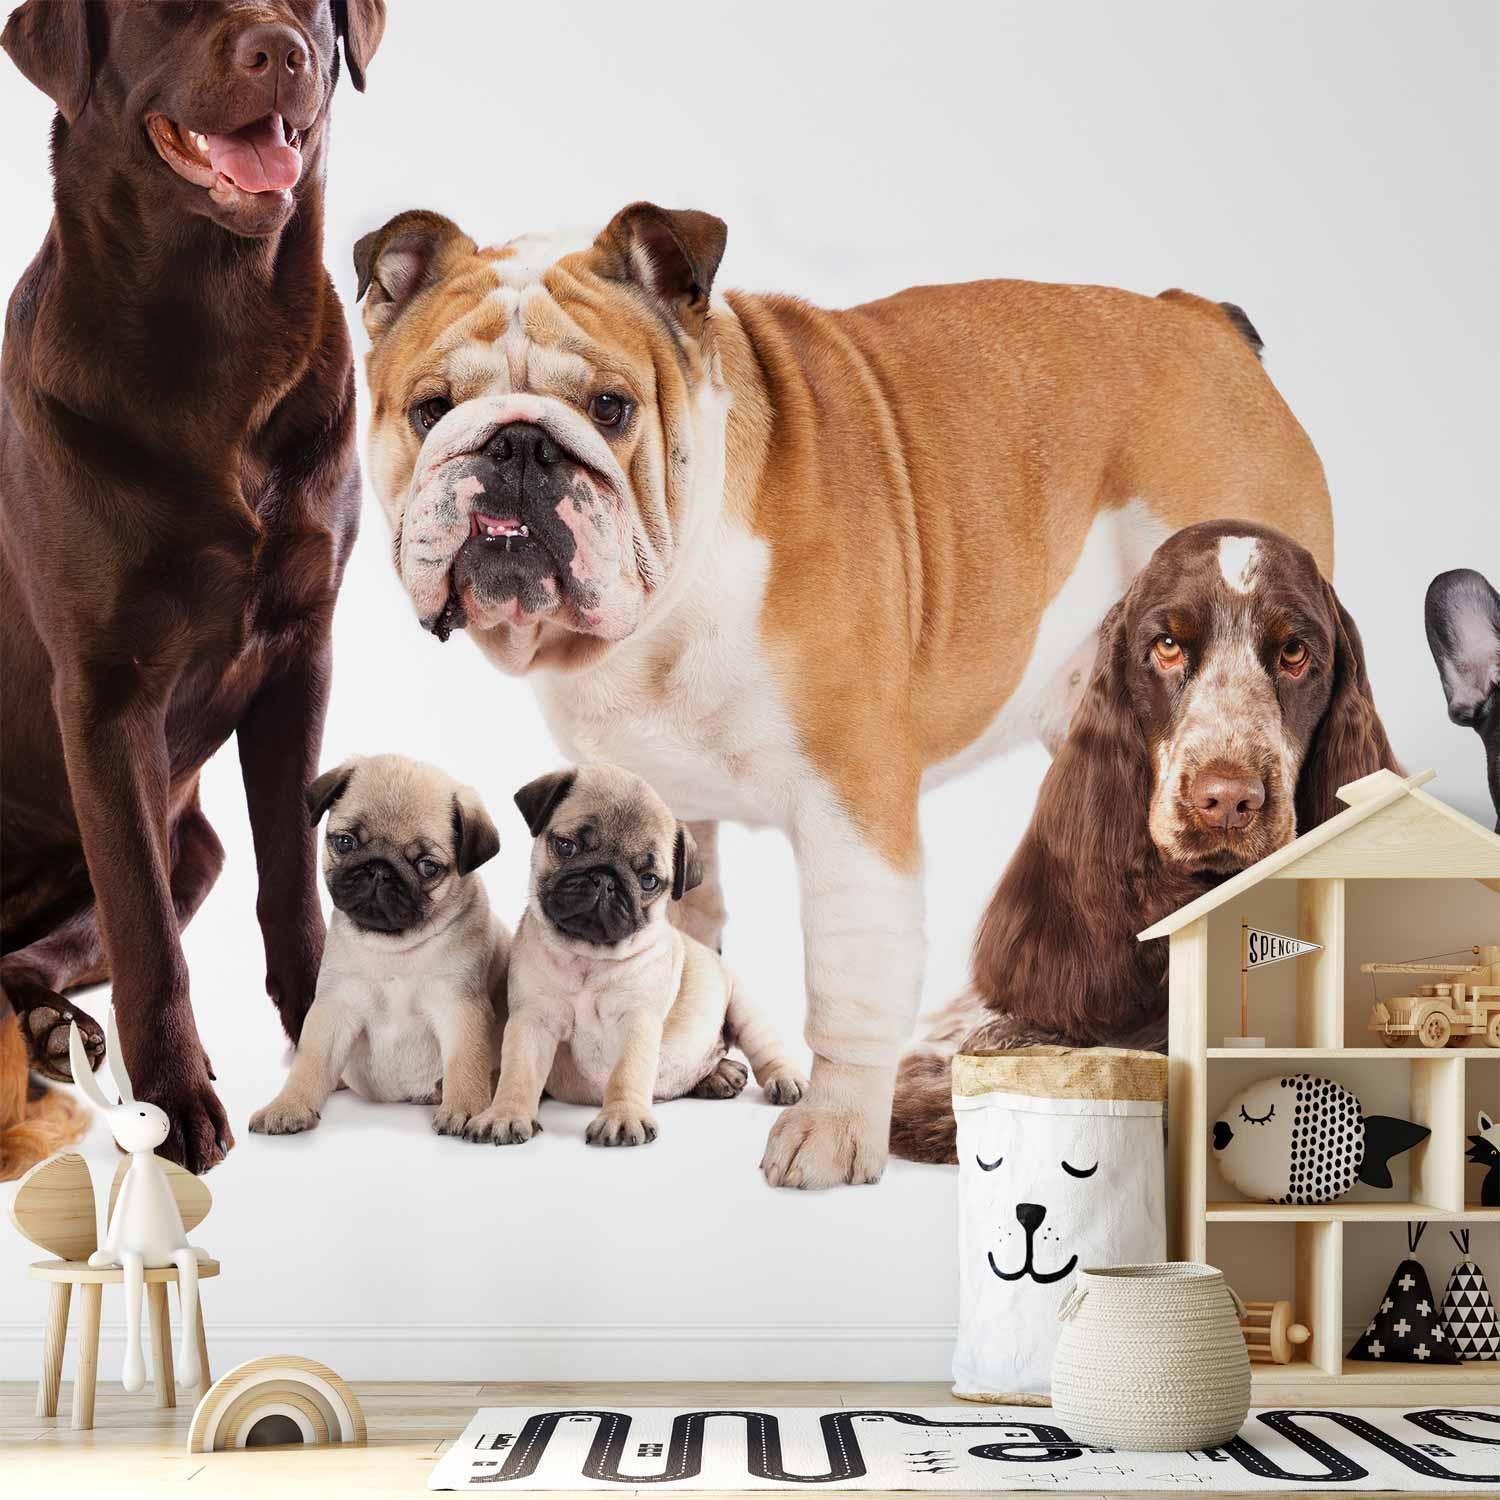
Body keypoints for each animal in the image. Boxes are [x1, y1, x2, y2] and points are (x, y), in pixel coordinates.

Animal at [252, 756, 510, 1140]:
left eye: (427, 866)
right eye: (345, 842)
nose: (379, 869)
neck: (393, 949)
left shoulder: (461, 1008)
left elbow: (466, 1063)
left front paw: (465, 1109)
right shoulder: (333, 1007)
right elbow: (310, 1062)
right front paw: (288, 1106)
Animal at [465, 768, 804, 1140]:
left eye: (648, 880)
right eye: (566, 846)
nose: (604, 878)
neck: (588, 959)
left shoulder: (638, 1020)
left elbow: (627, 1072)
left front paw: (622, 1117)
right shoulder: (532, 1019)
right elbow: (519, 1072)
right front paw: (506, 1114)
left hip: (744, 1008)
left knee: (764, 1048)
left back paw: (780, 1079)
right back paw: (719, 1075)